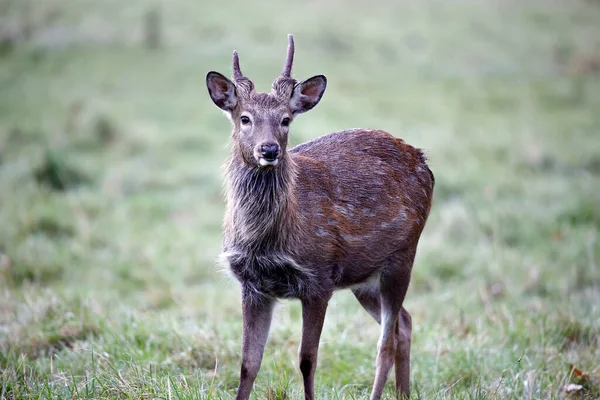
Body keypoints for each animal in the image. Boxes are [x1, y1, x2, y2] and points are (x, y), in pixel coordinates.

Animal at [205, 35, 432, 400]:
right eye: (244, 118)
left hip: (403, 255)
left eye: (286, 119)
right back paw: (404, 393)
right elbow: (247, 364)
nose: (269, 149)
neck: (268, 239)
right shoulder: (253, 285)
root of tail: (424, 160)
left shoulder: (319, 277)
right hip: (364, 277)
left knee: (386, 342)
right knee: (405, 324)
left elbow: (307, 360)